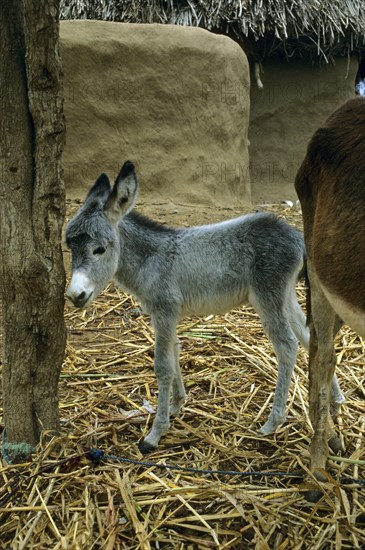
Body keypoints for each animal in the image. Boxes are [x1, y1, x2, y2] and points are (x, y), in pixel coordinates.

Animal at [66, 162, 344, 454]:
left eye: (99, 249)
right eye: (69, 246)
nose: (75, 295)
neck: (151, 259)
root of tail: (295, 235)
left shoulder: (165, 310)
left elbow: (162, 365)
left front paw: (154, 434)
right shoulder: (165, 315)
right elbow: (175, 351)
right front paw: (177, 403)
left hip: (267, 297)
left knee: (287, 345)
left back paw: (273, 422)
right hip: (284, 295)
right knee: (311, 337)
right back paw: (335, 400)